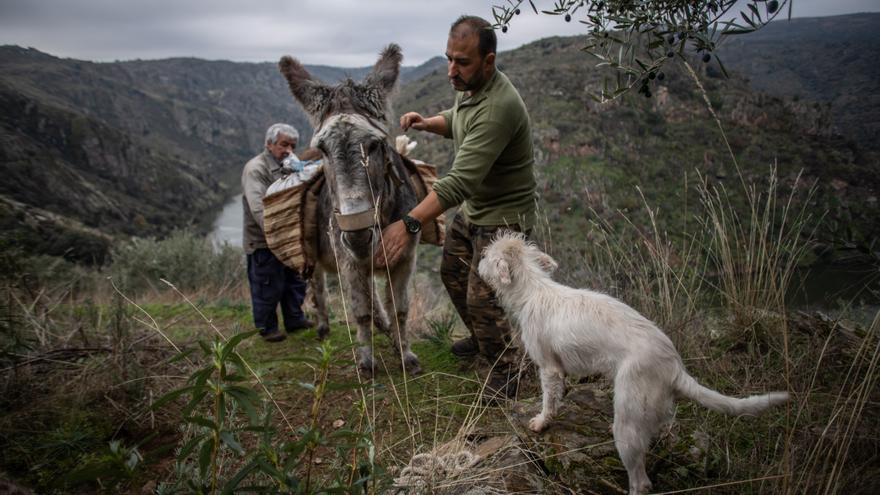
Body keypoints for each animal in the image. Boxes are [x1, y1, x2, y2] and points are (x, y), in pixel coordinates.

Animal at [482, 233, 792, 495]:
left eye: (486, 255)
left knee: (640, 482)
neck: (534, 290)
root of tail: (674, 367)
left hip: (628, 421)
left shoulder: (549, 367)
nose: (479, 261)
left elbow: (549, 398)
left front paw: (541, 421)